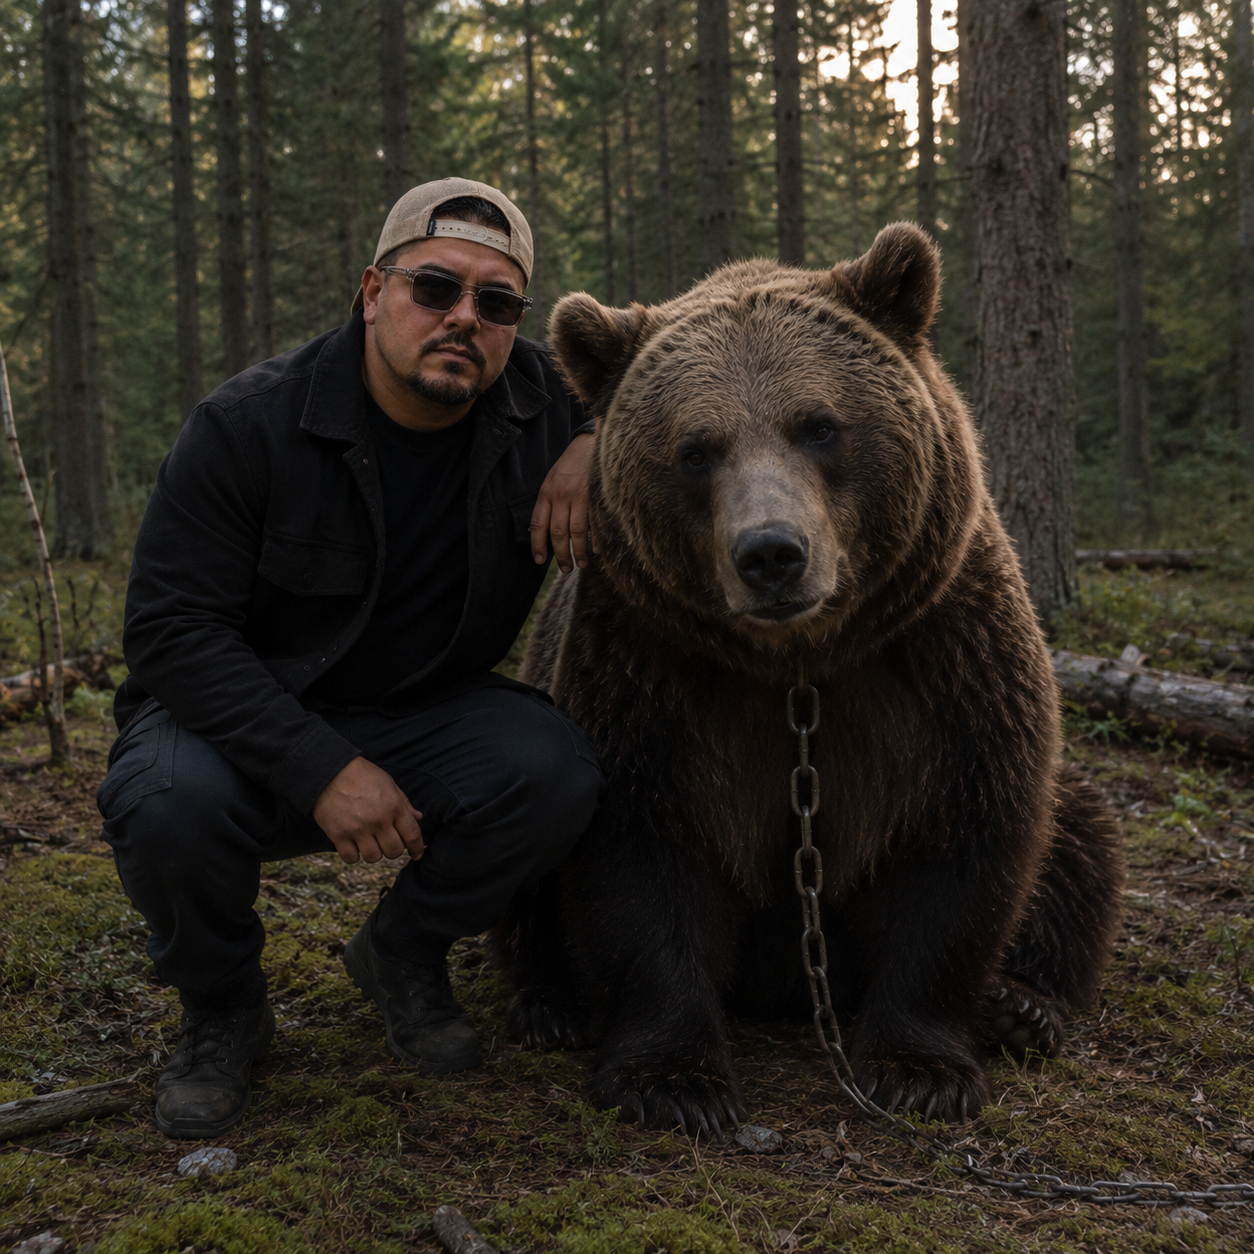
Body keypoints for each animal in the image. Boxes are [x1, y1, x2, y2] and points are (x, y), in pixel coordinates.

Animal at [494, 222, 1123, 1136]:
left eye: (819, 425)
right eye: (696, 449)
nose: (771, 554)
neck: (798, 663)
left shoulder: (938, 660)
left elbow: (959, 845)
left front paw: (919, 1070)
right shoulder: (652, 673)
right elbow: (643, 859)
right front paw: (672, 1082)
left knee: (1079, 836)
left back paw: (1023, 1006)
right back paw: (550, 1005)